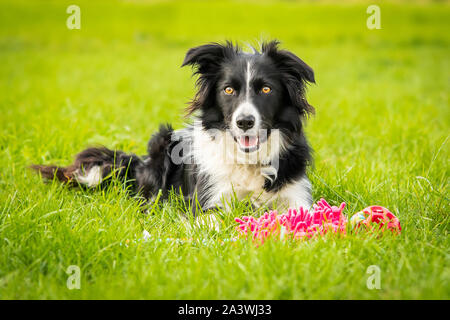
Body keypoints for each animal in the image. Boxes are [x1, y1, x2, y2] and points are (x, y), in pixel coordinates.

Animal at [33, 39, 314, 215]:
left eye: (266, 89)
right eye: (228, 90)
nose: (245, 122)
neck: (249, 162)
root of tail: (139, 162)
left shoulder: (297, 197)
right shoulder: (210, 201)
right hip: (163, 142)